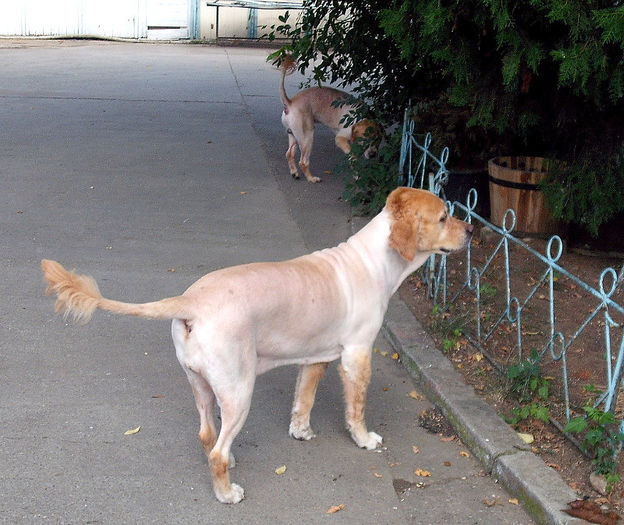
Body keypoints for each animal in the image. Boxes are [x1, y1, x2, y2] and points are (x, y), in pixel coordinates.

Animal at [41, 186, 470, 502]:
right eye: (443, 217)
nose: (470, 231)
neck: (374, 260)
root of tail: (191, 300)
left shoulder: (314, 359)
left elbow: (303, 400)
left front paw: (301, 431)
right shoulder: (357, 356)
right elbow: (356, 410)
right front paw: (364, 440)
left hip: (200, 385)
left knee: (207, 436)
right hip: (238, 391)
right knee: (216, 451)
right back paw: (227, 493)